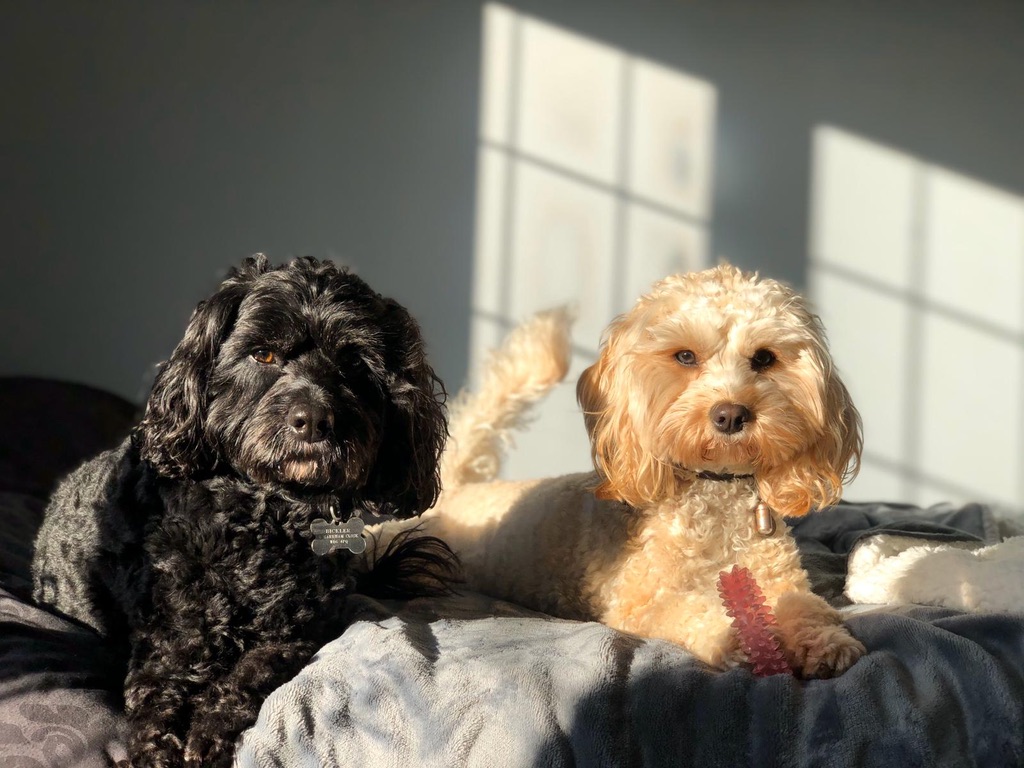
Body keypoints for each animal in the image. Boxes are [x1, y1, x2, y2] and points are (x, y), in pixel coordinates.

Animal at [30, 256, 452, 765]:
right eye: (263, 356)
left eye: (354, 362)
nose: (314, 420)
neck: (265, 517)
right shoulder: (170, 636)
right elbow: (157, 691)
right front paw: (157, 749)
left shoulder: (296, 632)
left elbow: (250, 674)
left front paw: (208, 731)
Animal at [368, 266, 864, 679]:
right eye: (685, 356)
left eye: (764, 358)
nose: (730, 415)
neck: (713, 492)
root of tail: (460, 489)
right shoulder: (638, 600)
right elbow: (697, 610)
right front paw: (740, 635)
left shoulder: (784, 582)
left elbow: (807, 607)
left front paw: (825, 642)